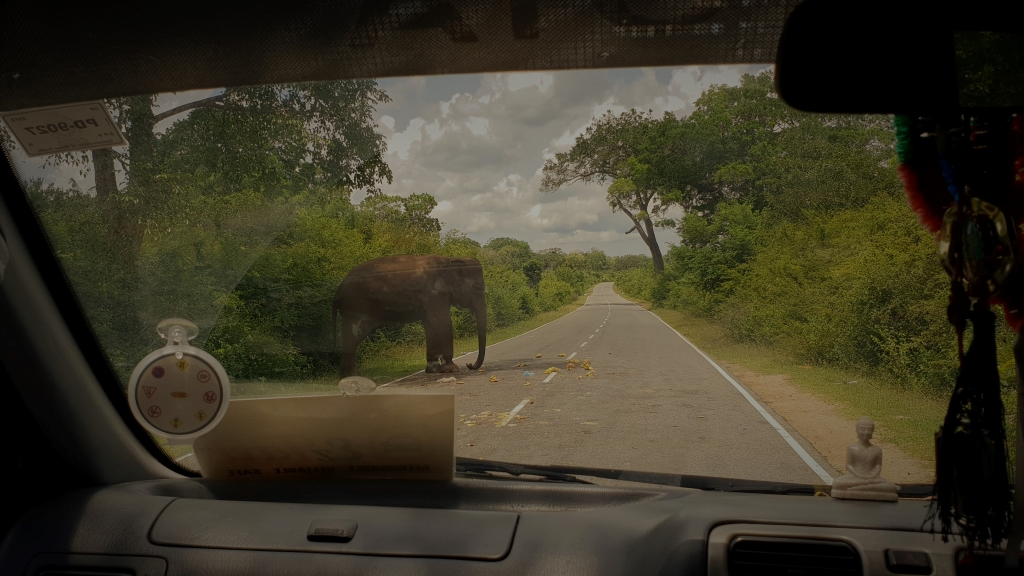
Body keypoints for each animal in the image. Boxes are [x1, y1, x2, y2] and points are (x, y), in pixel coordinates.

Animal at [329, 255, 485, 377]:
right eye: (478, 288)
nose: (469, 364)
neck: (448, 259)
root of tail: (338, 293)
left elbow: (430, 324)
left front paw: (433, 370)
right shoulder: (434, 294)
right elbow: (442, 322)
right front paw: (451, 370)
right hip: (356, 306)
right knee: (353, 336)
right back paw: (351, 376)